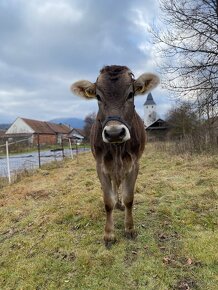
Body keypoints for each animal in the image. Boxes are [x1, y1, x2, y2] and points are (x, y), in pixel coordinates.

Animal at [70, 65, 159, 247]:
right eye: (98, 96)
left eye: (131, 94)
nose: (114, 133)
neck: (117, 147)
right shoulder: (101, 166)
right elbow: (108, 201)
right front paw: (109, 234)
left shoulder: (134, 164)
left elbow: (129, 198)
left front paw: (129, 228)